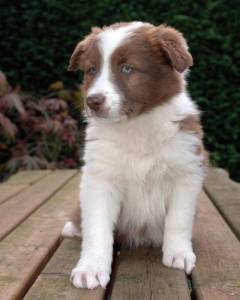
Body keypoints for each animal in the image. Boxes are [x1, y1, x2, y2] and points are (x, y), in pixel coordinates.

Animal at [62, 21, 208, 288]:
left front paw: (179, 254)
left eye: (127, 69)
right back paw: (73, 227)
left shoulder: (186, 171)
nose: (92, 101)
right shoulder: (99, 179)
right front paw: (90, 269)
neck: (136, 125)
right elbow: (96, 228)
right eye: (91, 70)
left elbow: (179, 219)